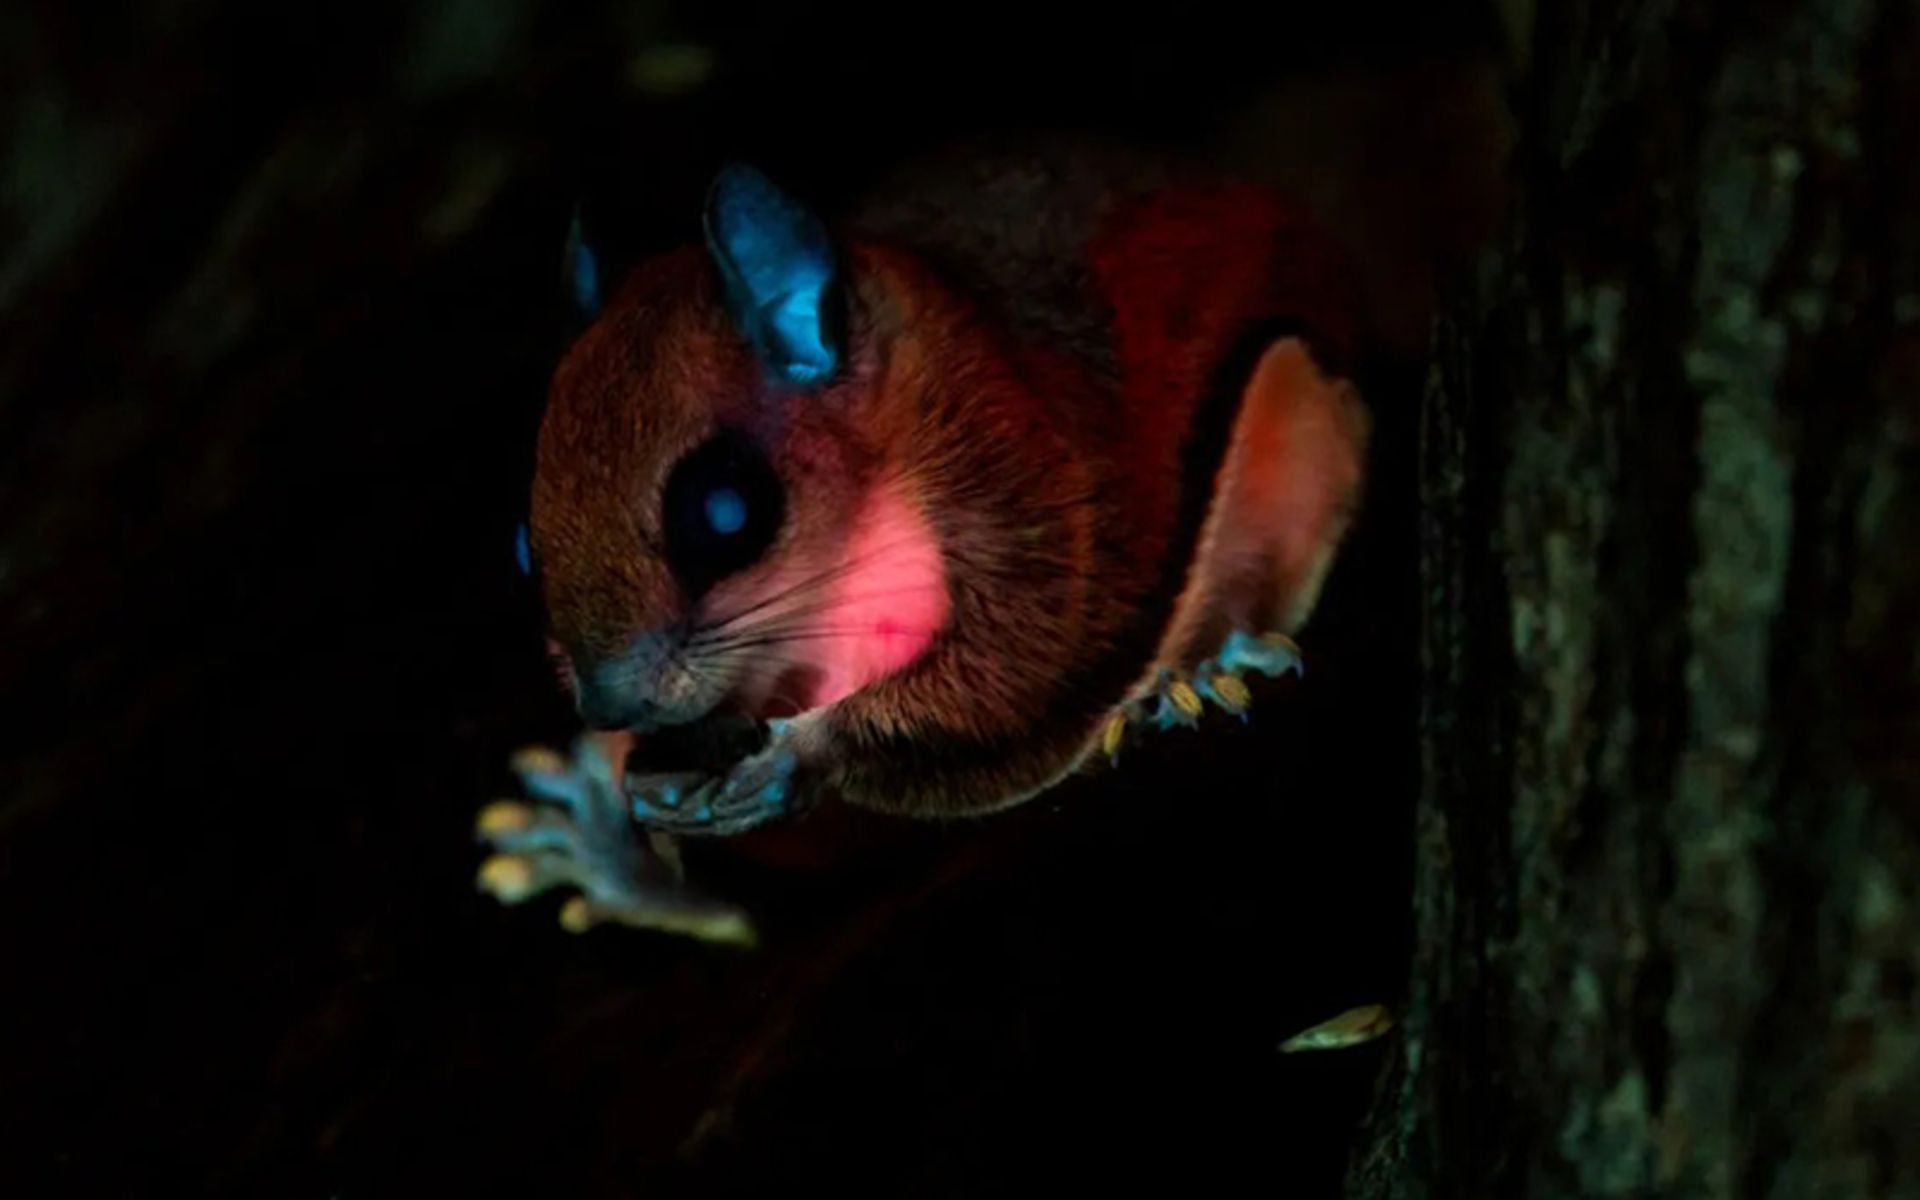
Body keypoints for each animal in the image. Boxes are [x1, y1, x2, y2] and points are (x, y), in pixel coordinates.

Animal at [476, 144, 1371, 943]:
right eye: (522, 547)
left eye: (723, 510)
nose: (609, 708)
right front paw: (627, 805)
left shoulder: (1024, 488)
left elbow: (1001, 680)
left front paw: (799, 753)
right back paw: (603, 856)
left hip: (1292, 422)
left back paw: (1205, 672)